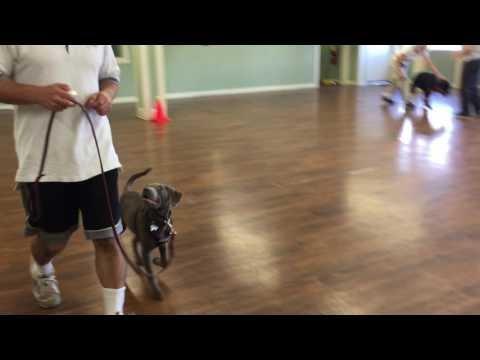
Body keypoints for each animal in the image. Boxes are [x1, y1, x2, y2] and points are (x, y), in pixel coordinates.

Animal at [121, 170, 183, 300]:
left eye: (160, 188)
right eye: (148, 185)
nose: (145, 189)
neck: (158, 221)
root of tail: (126, 191)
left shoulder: (163, 244)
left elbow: (165, 261)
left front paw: (157, 261)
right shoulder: (146, 251)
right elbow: (150, 273)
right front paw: (156, 291)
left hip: (137, 231)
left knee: (133, 241)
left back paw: (138, 260)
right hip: (124, 226)